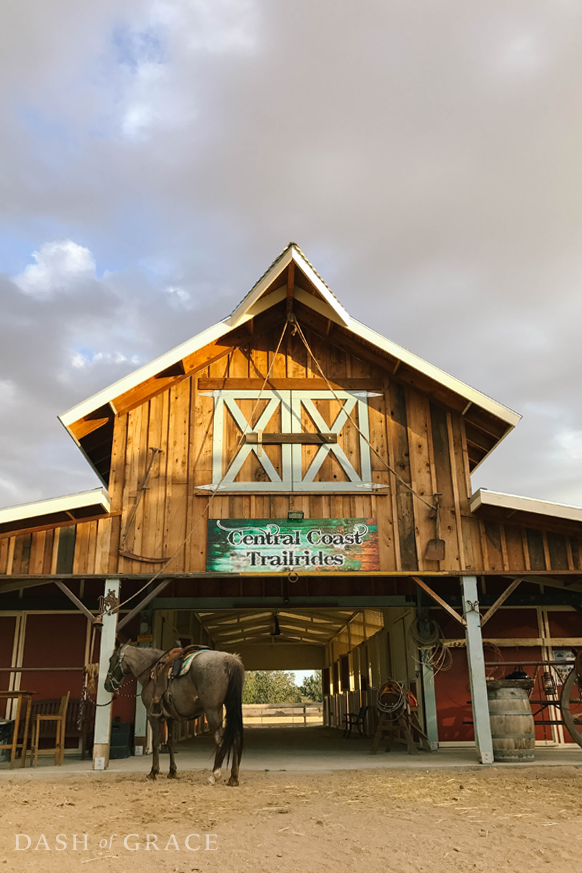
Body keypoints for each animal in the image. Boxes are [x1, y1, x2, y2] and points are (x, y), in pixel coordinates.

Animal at [105, 636, 244, 788]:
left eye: (111, 660)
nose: (106, 685)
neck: (150, 672)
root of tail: (229, 659)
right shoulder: (171, 718)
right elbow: (171, 742)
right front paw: (172, 772)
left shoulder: (153, 717)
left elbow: (155, 743)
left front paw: (153, 772)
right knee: (236, 738)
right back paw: (233, 778)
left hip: (212, 710)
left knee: (220, 739)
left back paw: (214, 775)